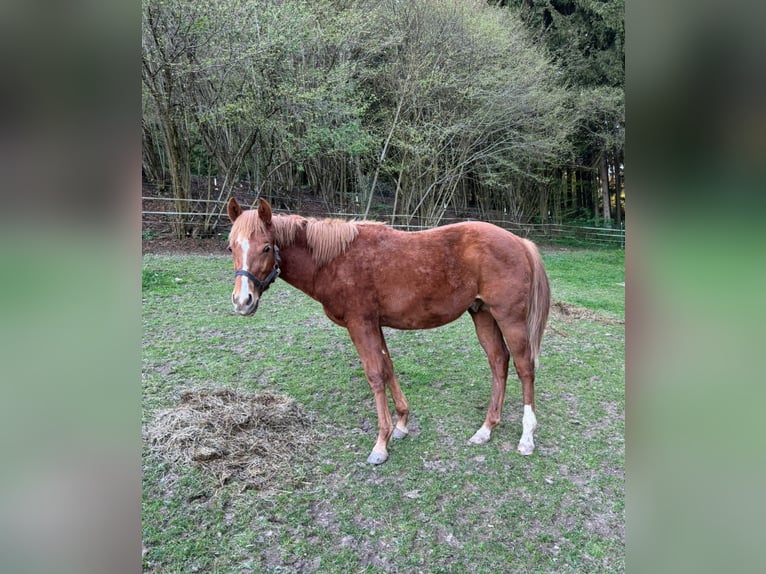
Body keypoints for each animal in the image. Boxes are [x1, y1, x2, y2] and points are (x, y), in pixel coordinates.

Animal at [226, 197, 550, 465]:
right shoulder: (375, 324)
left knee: (524, 367)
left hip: (510, 319)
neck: (335, 261)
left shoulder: (361, 324)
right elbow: (388, 367)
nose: (243, 301)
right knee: (498, 362)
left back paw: (526, 438)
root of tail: (520, 242)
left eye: (266, 247)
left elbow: (375, 375)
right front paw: (402, 425)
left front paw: (381, 444)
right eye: (231, 247)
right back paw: (486, 429)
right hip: (482, 314)